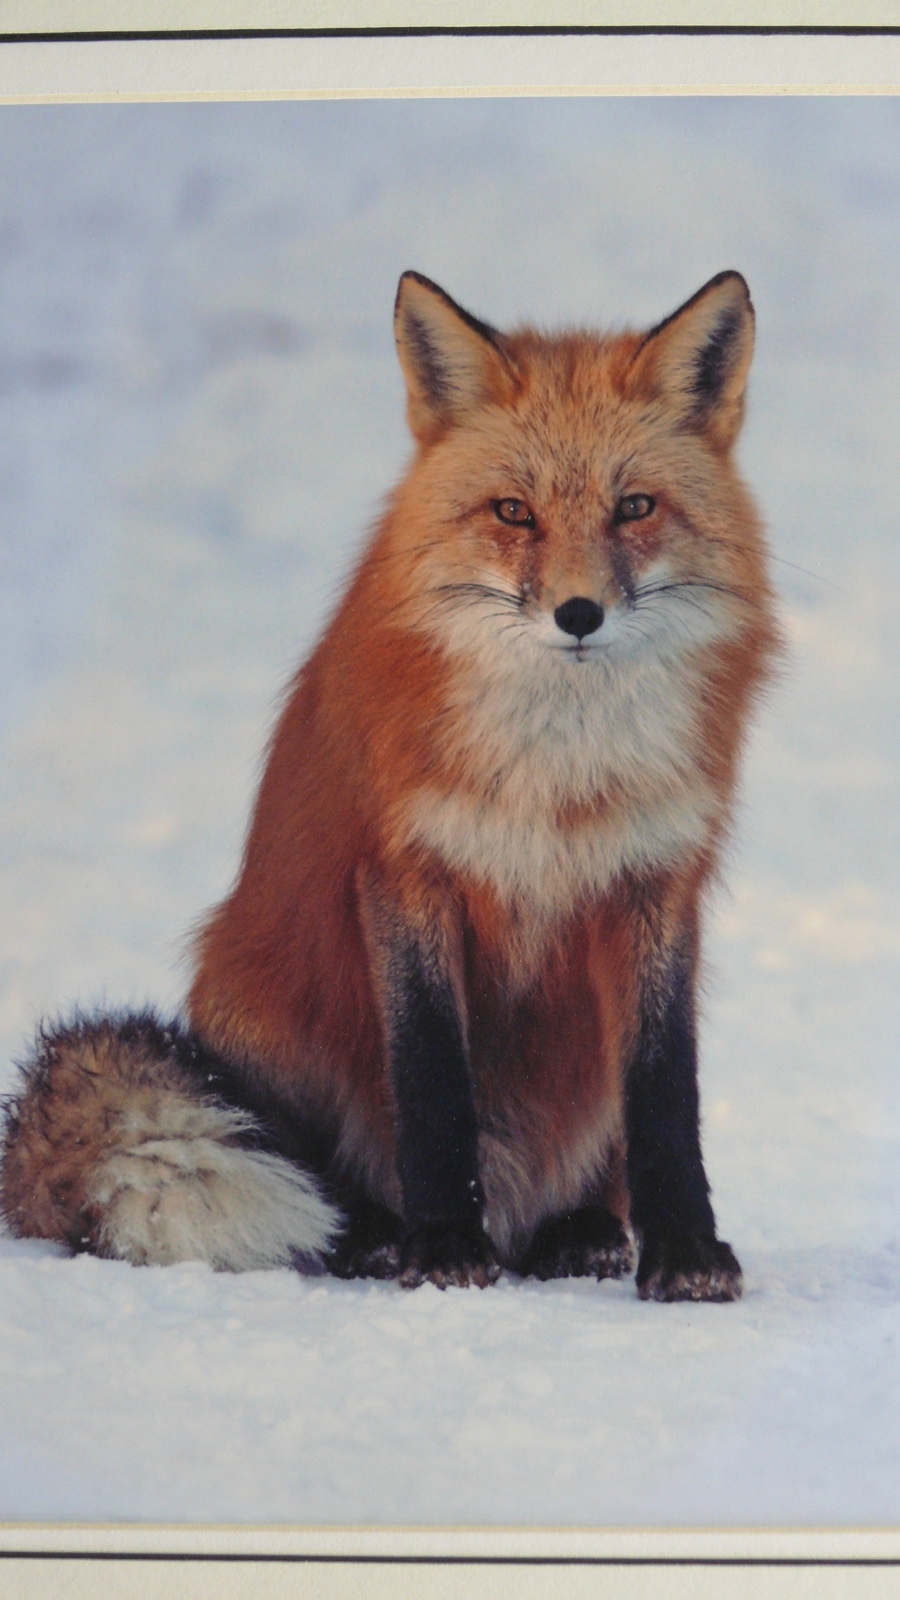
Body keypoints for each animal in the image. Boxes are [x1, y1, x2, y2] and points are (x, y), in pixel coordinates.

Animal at [1, 268, 780, 1301]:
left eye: (636, 508)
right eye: (513, 512)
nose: (578, 614)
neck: (558, 778)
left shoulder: (655, 885)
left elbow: (666, 1096)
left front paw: (687, 1249)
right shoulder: (406, 875)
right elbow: (433, 1084)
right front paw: (443, 1246)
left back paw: (576, 1233)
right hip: (262, 1012)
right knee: (320, 1174)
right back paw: (376, 1236)